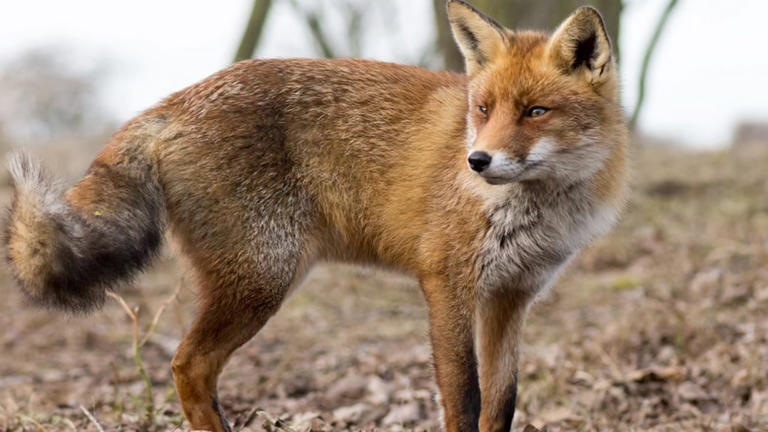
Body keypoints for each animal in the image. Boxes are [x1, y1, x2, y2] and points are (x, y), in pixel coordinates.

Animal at [4, 1, 627, 431]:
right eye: (483, 109)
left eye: (535, 111)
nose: (476, 161)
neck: (536, 211)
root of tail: (171, 101)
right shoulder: (446, 282)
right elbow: (464, 399)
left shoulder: (510, 297)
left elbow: (501, 405)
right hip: (262, 279)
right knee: (188, 365)